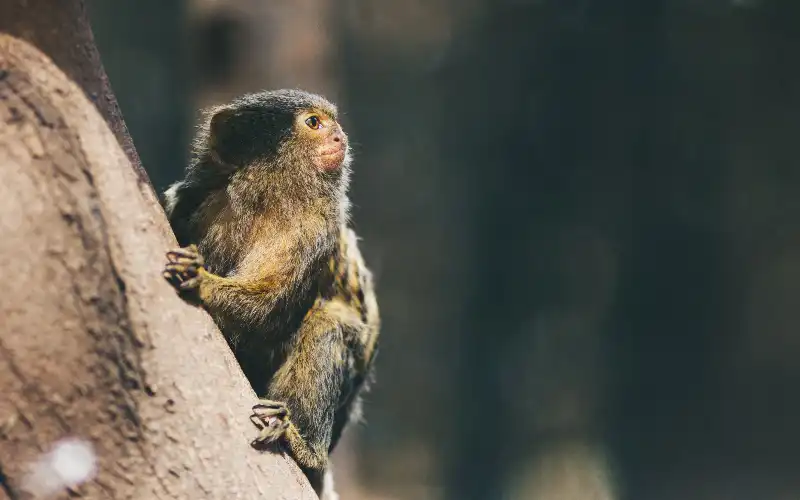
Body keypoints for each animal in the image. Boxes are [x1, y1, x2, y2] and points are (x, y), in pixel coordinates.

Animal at [161, 90, 380, 496]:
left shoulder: (313, 229)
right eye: (314, 123)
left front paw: (202, 280)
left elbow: (265, 311)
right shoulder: (192, 197)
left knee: (329, 324)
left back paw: (304, 445)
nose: (339, 137)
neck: (264, 196)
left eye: (332, 123)